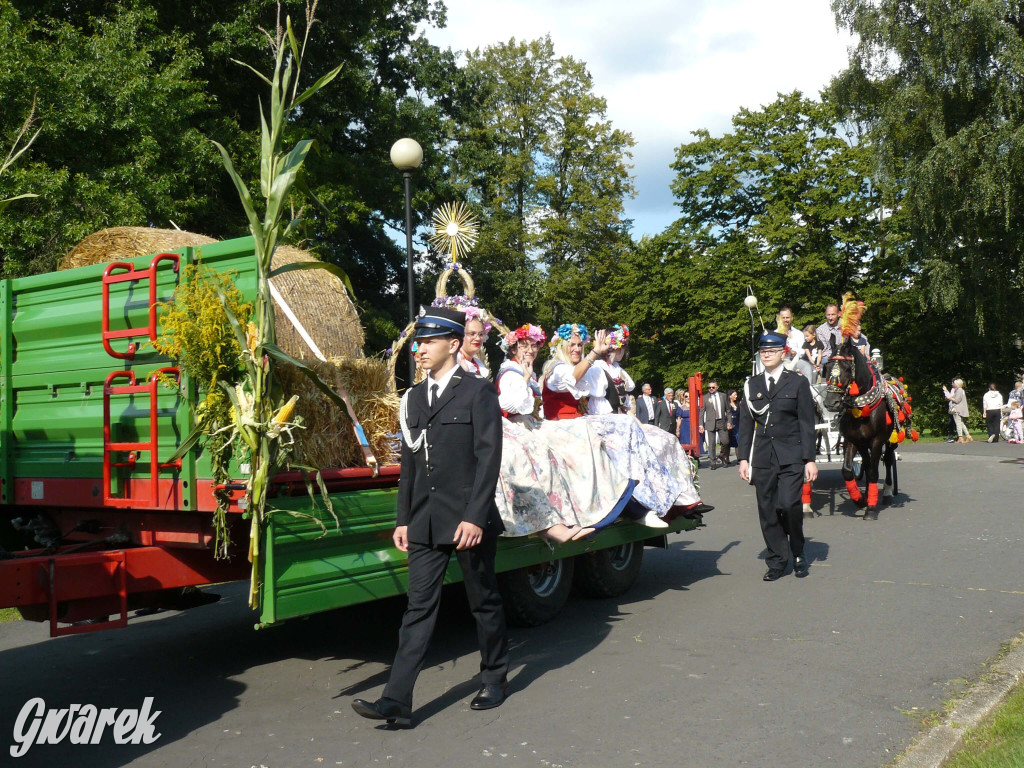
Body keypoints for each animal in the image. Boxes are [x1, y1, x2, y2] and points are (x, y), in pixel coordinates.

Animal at [819, 296, 917, 520]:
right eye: (826, 368)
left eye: (847, 368)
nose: (830, 403)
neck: (861, 408)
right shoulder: (851, 439)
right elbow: (848, 470)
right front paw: (859, 500)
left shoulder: (877, 439)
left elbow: (873, 471)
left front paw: (870, 508)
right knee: (865, 462)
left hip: (890, 438)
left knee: (888, 460)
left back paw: (887, 492)